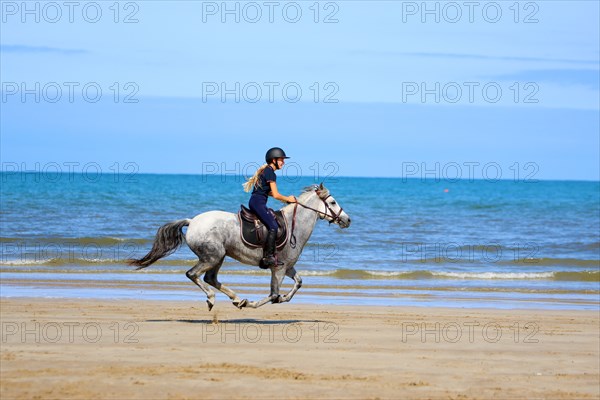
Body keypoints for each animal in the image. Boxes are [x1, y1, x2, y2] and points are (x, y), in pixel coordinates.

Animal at [129, 183, 350, 310]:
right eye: (332, 202)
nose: (347, 220)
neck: (294, 224)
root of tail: (192, 222)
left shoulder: (287, 266)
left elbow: (298, 283)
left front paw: (283, 298)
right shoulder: (278, 269)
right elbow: (273, 294)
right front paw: (255, 303)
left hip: (219, 257)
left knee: (210, 278)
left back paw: (236, 299)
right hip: (212, 256)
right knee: (193, 274)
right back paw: (213, 299)